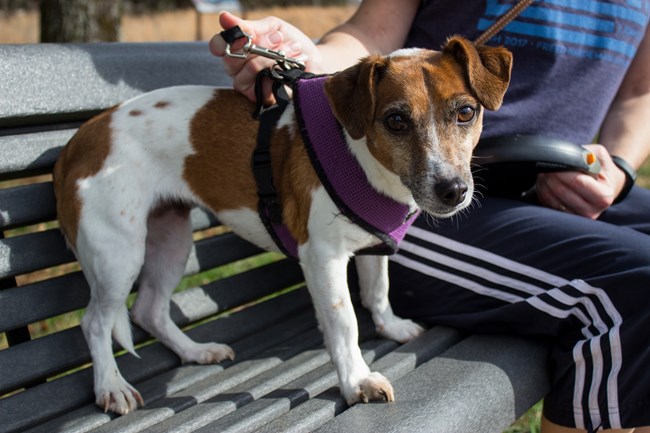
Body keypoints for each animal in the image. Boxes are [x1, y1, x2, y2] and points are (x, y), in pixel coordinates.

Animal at [53, 35, 512, 414]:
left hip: (171, 240)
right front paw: (357, 380)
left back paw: (195, 352)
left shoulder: (370, 243)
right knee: (95, 322)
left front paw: (391, 326)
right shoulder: (322, 257)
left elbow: (377, 290)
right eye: (396, 121)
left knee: (149, 308)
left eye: (466, 112)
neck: (365, 162)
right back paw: (111, 386)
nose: (453, 190)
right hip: (118, 255)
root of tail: (81, 138)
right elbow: (344, 321)